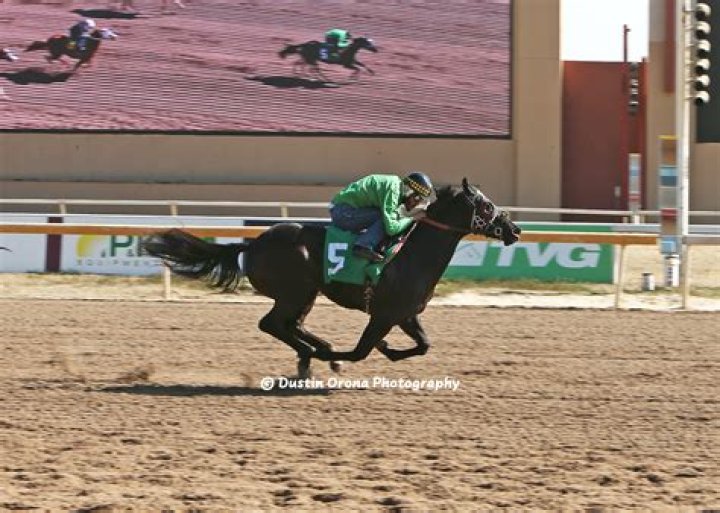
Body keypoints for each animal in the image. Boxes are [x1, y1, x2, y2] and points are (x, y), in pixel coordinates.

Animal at [143, 179, 521, 380]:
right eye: (486, 207)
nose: (515, 229)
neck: (412, 257)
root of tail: (253, 242)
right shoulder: (383, 314)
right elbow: (360, 351)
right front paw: (345, 355)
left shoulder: (405, 314)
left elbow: (423, 345)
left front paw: (383, 349)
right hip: (293, 292)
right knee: (273, 324)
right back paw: (315, 353)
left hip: (306, 293)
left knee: (289, 325)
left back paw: (314, 351)